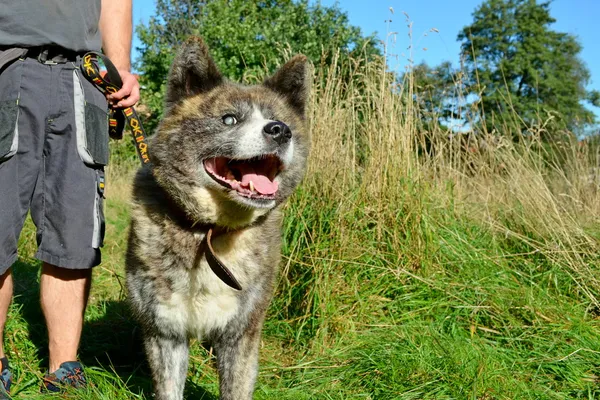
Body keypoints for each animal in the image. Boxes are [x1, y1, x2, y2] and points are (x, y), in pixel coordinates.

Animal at [123, 37, 310, 400]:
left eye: (279, 120)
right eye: (229, 120)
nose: (280, 131)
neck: (212, 232)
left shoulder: (241, 334)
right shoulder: (165, 332)